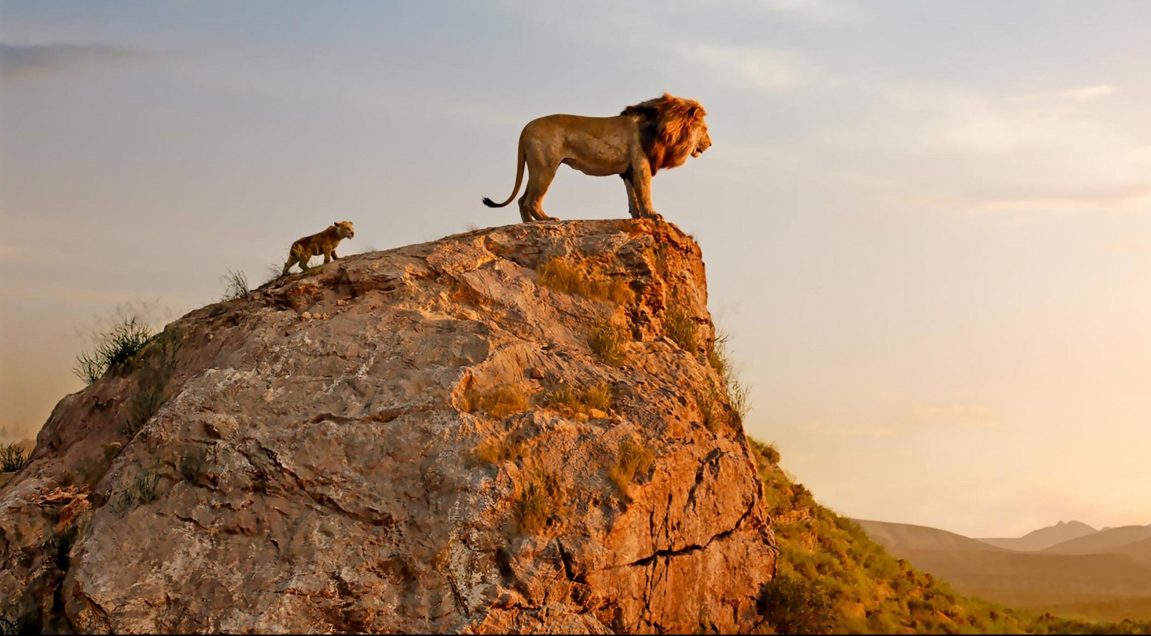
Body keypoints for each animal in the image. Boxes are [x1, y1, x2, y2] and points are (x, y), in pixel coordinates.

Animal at [482, 93, 711, 222]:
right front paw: (652, 215)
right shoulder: (641, 165)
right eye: (705, 129)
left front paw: (637, 217)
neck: (661, 127)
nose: (710, 144)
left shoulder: (629, 170)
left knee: (522, 200)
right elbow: (644, 193)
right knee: (531, 200)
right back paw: (547, 220)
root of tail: (525, 128)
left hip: (536, 167)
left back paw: (530, 224)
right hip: (546, 168)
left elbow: (633, 197)